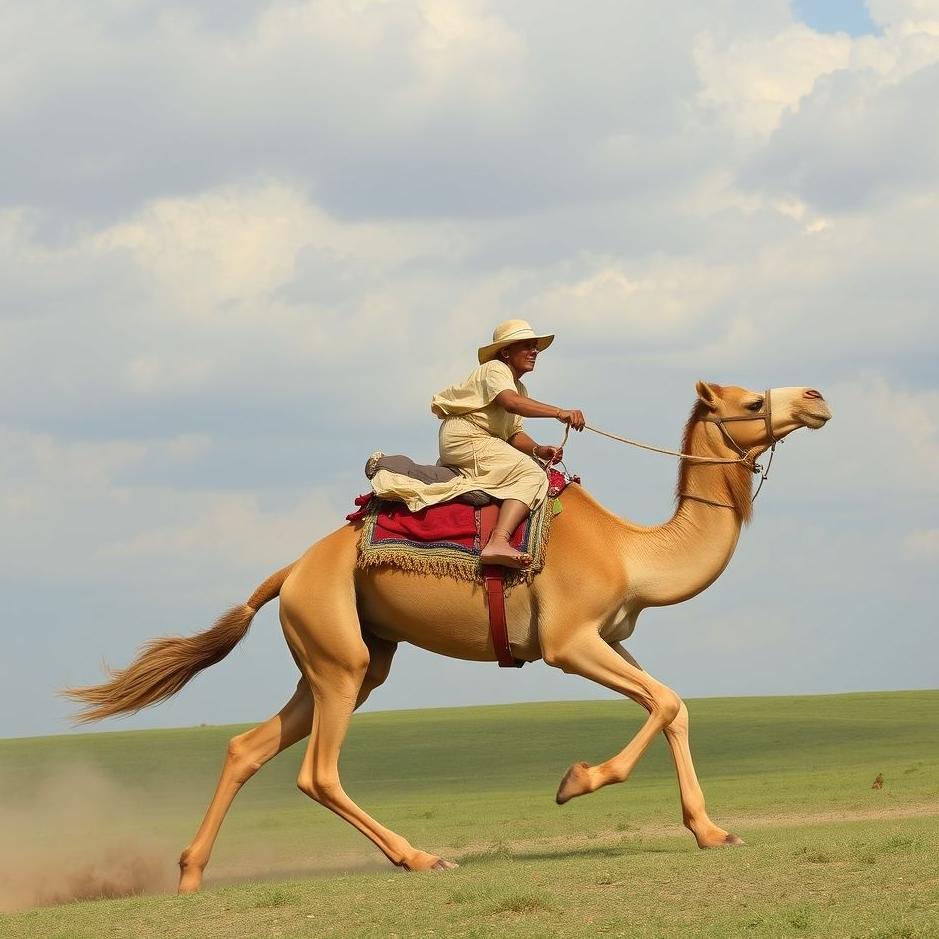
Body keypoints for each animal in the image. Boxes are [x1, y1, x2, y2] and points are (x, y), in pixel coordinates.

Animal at [65, 381, 831, 894]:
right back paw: (420, 857)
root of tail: (289, 572)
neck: (629, 551)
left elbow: (670, 702)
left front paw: (711, 830)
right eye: (751, 403)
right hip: (338, 654)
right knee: (318, 771)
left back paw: (191, 874)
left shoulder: (610, 639)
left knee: (247, 747)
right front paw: (575, 781)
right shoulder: (566, 643)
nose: (816, 397)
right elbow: (665, 701)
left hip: (344, 656)